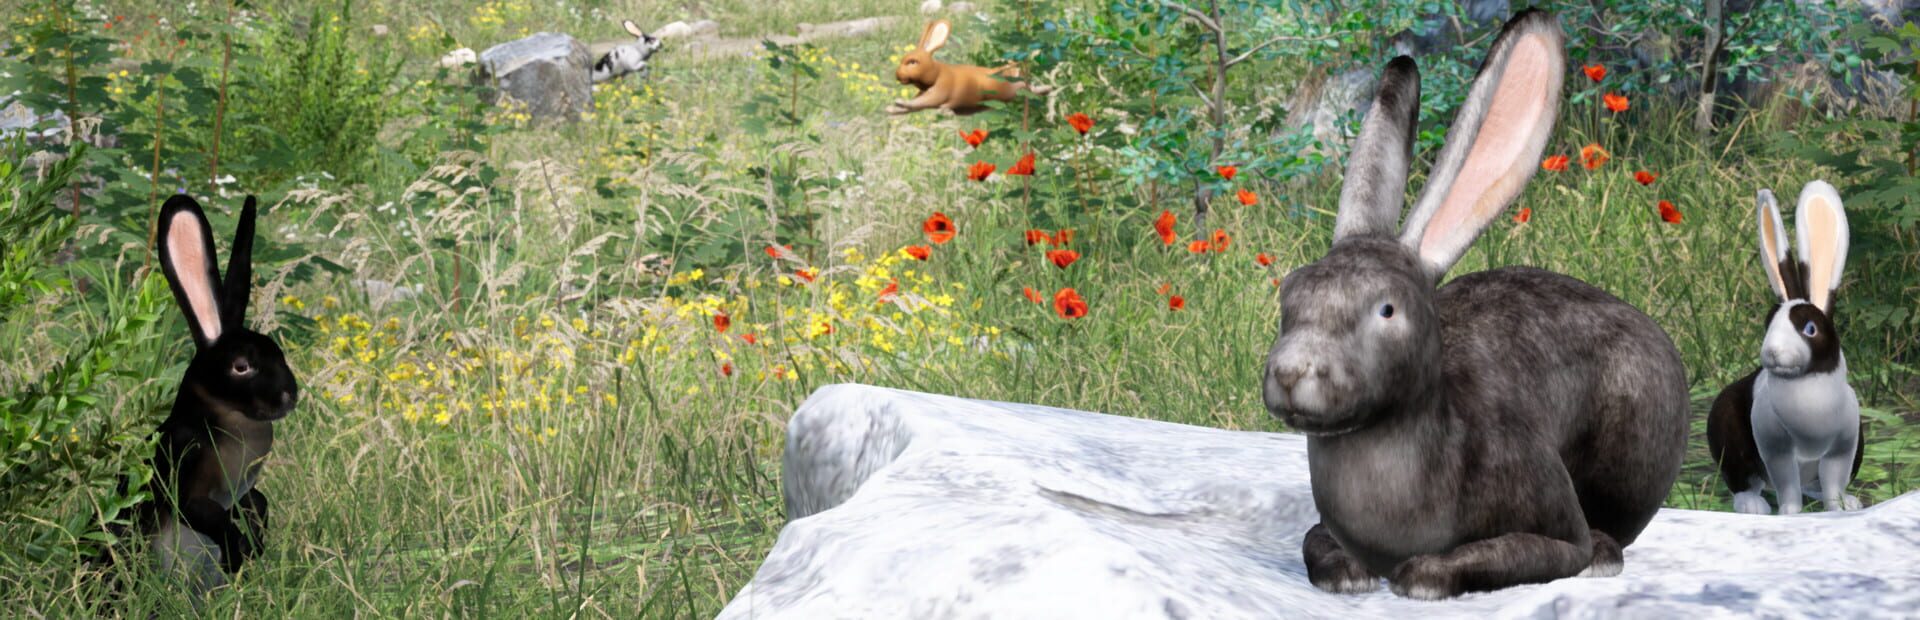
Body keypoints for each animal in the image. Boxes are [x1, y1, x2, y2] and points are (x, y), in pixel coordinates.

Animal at [121, 194, 298, 595]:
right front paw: (236, 557)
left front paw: (253, 549)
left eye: (279, 353)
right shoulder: (185, 477)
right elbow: (206, 514)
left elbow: (258, 502)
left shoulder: (244, 490)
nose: (288, 396)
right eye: (241, 366)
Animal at [886, 19, 1053, 116]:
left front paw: (899, 103)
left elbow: (921, 102)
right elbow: (915, 104)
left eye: (913, 62)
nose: (897, 75)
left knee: (1027, 88)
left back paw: (1046, 88)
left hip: (1010, 90)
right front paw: (893, 109)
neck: (938, 72)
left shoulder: (941, 90)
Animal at [1261, 9, 1689, 600]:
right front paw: (1348, 575)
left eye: (1387, 310)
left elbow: (1507, 555)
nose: (1290, 372)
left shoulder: (1550, 517)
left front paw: (1419, 576)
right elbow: (1314, 543)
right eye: (1291, 290)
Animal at [1707, 182, 1863, 516]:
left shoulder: (1844, 447)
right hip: (1729, 437)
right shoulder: (1775, 448)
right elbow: (1787, 485)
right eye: (1769, 322)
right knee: (1744, 481)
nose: (1772, 353)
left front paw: (1840, 510)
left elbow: (1833, 483)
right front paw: (1789, 514)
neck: (1808, 385)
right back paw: (1753, 506)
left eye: (1810, 329)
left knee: (1816, 484)